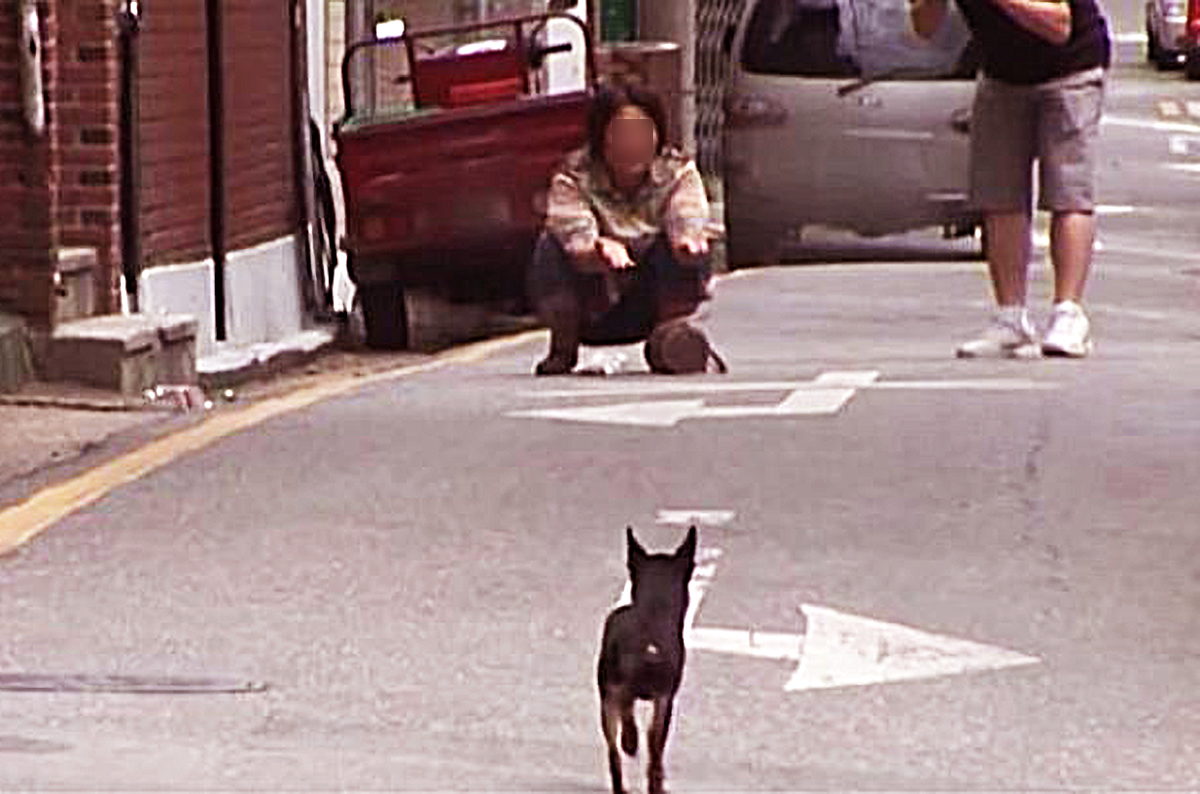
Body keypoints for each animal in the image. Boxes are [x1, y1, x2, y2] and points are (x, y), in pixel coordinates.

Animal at [597, 527, 700, 794]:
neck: (654, 611)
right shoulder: (665, 698)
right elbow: (656, 744)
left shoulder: (661, 698)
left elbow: (654, 743)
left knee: (615, 753)